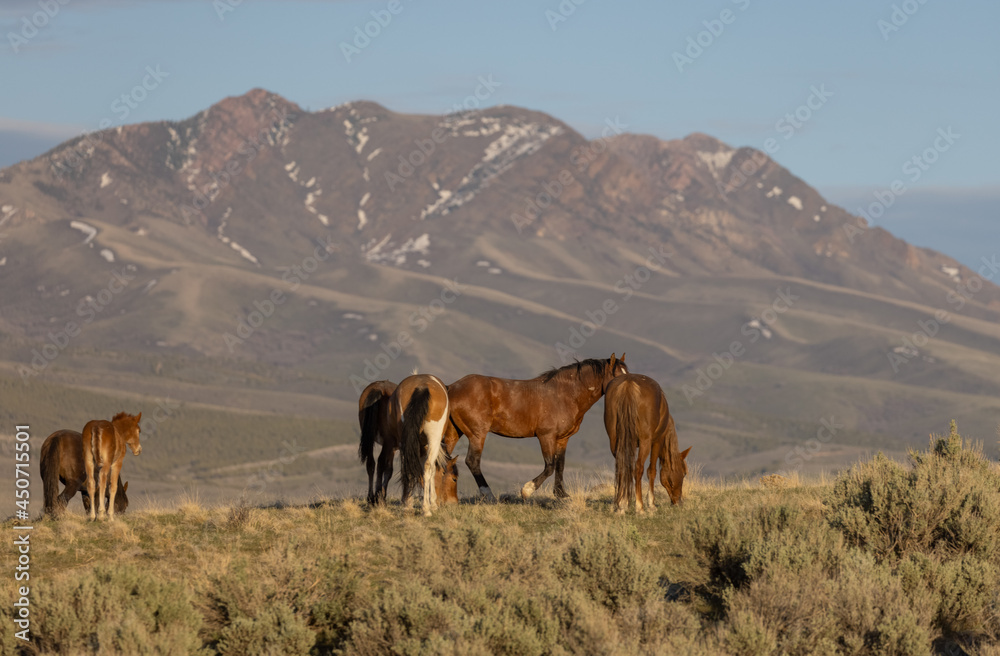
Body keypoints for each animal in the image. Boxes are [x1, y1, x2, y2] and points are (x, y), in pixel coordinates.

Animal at [394, 372, 450, 516]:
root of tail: (421, 387)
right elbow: (432, 470)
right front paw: (433, 504)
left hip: (405, 441)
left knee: (407, 467)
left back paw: (408, 505)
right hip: (434, 438)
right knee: (428, 467)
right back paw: (426, 509)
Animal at [444, 354, 628, 502]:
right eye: (617, 375)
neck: (565, 395)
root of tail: (451, 388)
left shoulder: (563, 439)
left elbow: (560, 464)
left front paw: (561, 494)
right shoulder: (546, 436)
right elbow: (550, 465)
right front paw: (527, 490)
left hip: (453, 433)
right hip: (477, 434)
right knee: (472, 461)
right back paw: (488, 494)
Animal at [604, 374, 692, 512]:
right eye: (683, 474)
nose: (678, 502)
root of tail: (628, 384)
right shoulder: (656, 441)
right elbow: (652, 470)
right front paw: (651, 503)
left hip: (614, 440)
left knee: (623, 467)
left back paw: (622, 504)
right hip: (645, 442)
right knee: (638, 467)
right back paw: (639, 507)